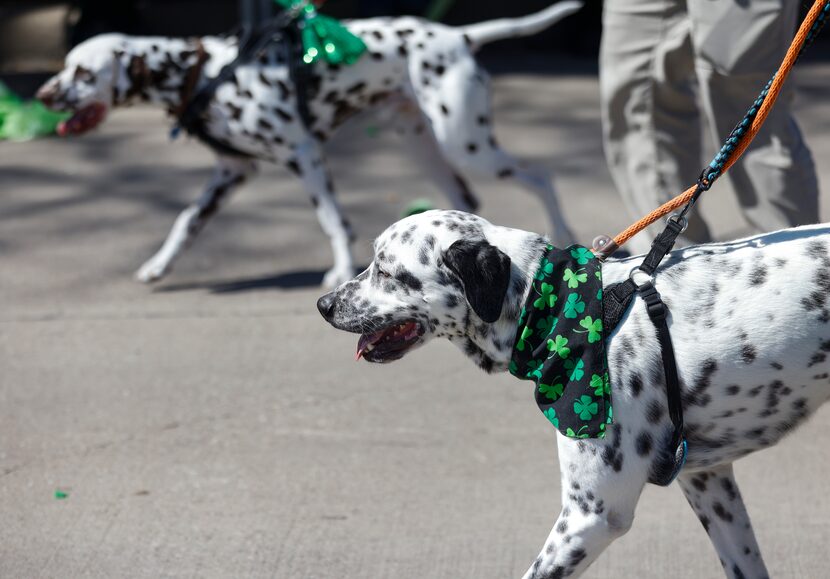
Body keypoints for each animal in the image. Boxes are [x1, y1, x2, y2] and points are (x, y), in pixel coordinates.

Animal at [35, 2, 580, 288]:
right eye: (66, 66)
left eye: (83, 73)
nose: (42, 95)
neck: (205, 75)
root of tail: (460, 36)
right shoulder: (231, 173)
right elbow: (186, 220)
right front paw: (158, 265)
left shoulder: (305, 156)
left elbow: (332, 220)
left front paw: (338, 269)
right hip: (426, 147)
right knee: (466, 201)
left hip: (466, 143)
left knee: (542, 177)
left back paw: (562, 229)